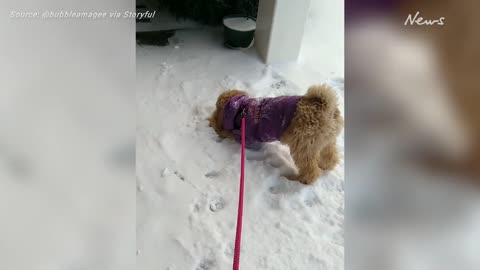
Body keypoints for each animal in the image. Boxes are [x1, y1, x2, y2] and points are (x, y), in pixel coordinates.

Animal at [208, 85, 344, 185]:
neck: (241, 109)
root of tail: (327, 108)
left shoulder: (246, 137)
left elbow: (231, 134)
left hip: (304, 145)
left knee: (310, 170)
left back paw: (300, 179)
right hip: (325, 142)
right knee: (330, 156)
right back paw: (326, 165)